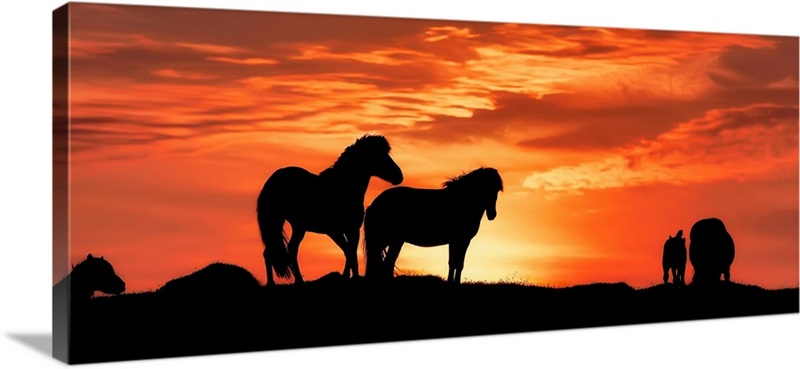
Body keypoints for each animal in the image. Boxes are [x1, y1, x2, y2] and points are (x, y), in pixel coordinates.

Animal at [256, 134, 404, 284]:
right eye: (379, 155)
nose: (399, 176)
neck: (342, 187)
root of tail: (272, 180)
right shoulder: (335, 231)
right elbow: (349, 252)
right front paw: (350, 277)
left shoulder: (351, 230)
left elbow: (349, 252)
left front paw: (348, 276)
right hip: (284, 222)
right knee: (283, 250)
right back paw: (283, 282)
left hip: (291, 225)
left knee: (281, 250)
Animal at [366, 165, 504, 284]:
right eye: (486, 188)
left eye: (497, 190)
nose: (492, 215)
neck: (462, 201)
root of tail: (375, 203)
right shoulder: (459, 240)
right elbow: (455, 263)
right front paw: (453, 283)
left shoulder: (459, 241)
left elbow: (456, 263)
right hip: (386, 239)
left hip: (395, 240)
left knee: (387, 262)